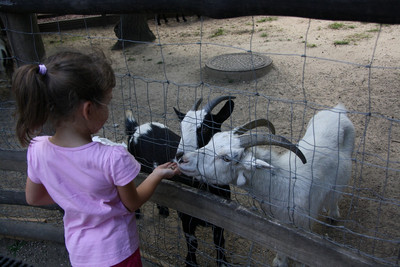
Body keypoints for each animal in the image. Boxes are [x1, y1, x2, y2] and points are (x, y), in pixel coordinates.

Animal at [125, 96, 236, 267]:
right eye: (181, 128)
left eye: (205, 129)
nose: (179, 157)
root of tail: (136, 128)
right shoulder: (186, 215)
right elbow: (193, 242)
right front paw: (190, 262)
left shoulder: (221, 217)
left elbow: (219, 241)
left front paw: (223, 263)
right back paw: (137, 214)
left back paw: (163, 210)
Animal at [178, 104, 356, 267]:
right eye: (212, 140)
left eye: (227, 158)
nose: (182, 160)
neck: (284, 184)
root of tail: (338, 110)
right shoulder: (281, 225)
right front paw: (279, 262)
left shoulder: (304, 227)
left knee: (335, 195)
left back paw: (333, 214)